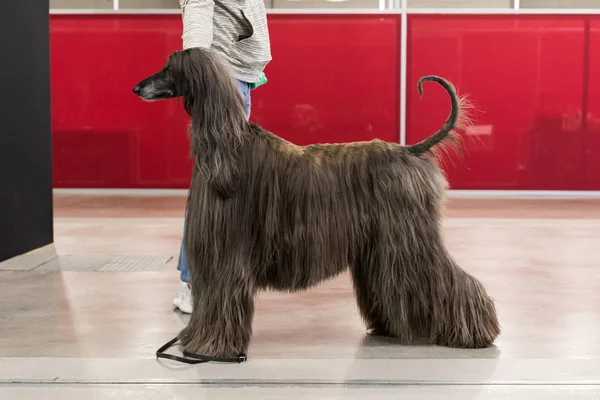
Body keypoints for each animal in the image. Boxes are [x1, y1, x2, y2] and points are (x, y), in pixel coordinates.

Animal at [132, 48, 502, 360]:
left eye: (168, 68)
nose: (136, 87)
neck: (227, 147)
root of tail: (409, 150)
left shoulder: (226, 253)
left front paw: (210, 348)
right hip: (383, 244)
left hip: (409, 236)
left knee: (452, 278)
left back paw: (474, 332)